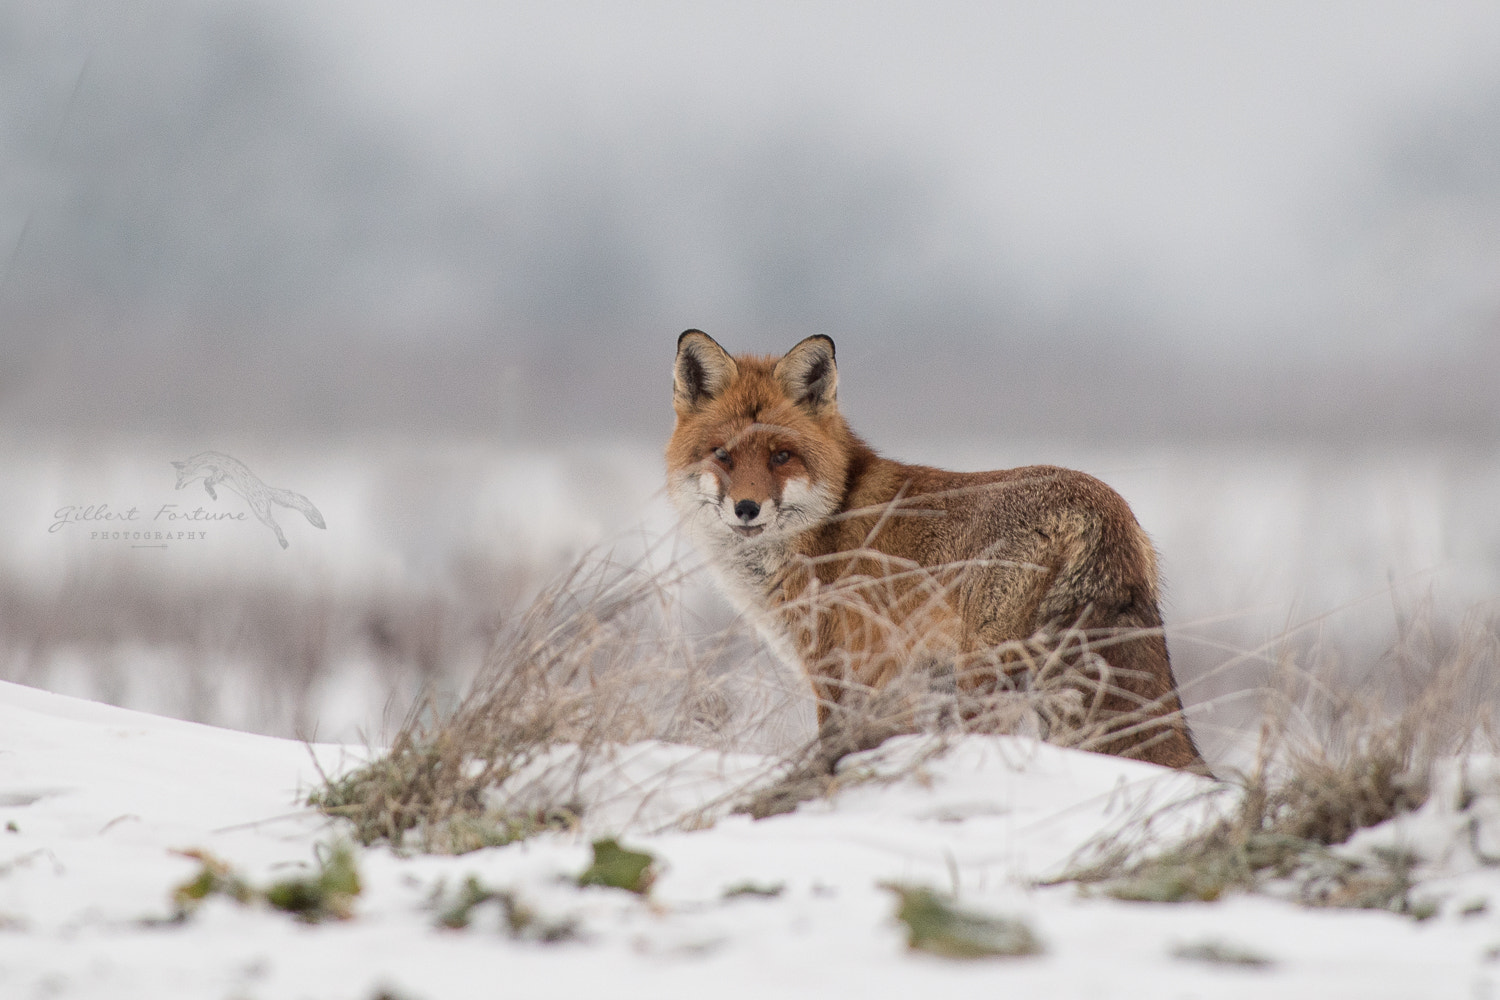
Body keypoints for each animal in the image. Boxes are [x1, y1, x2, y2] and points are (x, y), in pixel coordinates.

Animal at [669, 329, 1206, 773]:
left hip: (983, 677)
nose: (746, 509)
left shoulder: (851, 675)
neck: (827, 522)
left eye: (781, 456)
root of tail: (1103, 507)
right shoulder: (897, 685)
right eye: (723, 455)